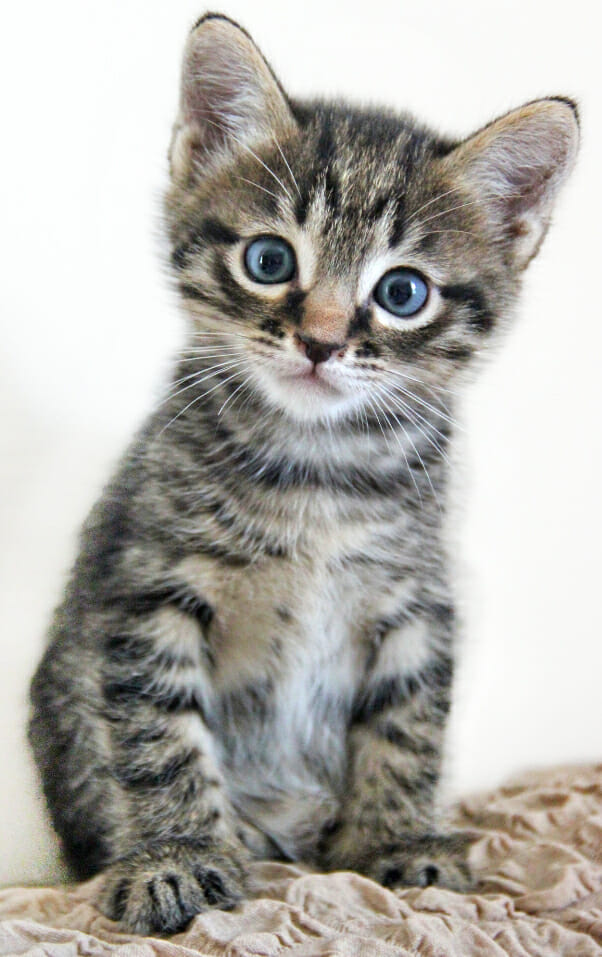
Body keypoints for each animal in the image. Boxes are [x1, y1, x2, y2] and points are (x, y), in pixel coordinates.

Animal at [28, 7, 576, 932]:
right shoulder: (146, 584)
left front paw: (396, 837)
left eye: (402, 293)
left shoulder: (416, 599)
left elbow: (407, 727)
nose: (319, 341)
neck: (319, 469)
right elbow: (157, 733)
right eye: (270, 261)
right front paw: (175, 855)